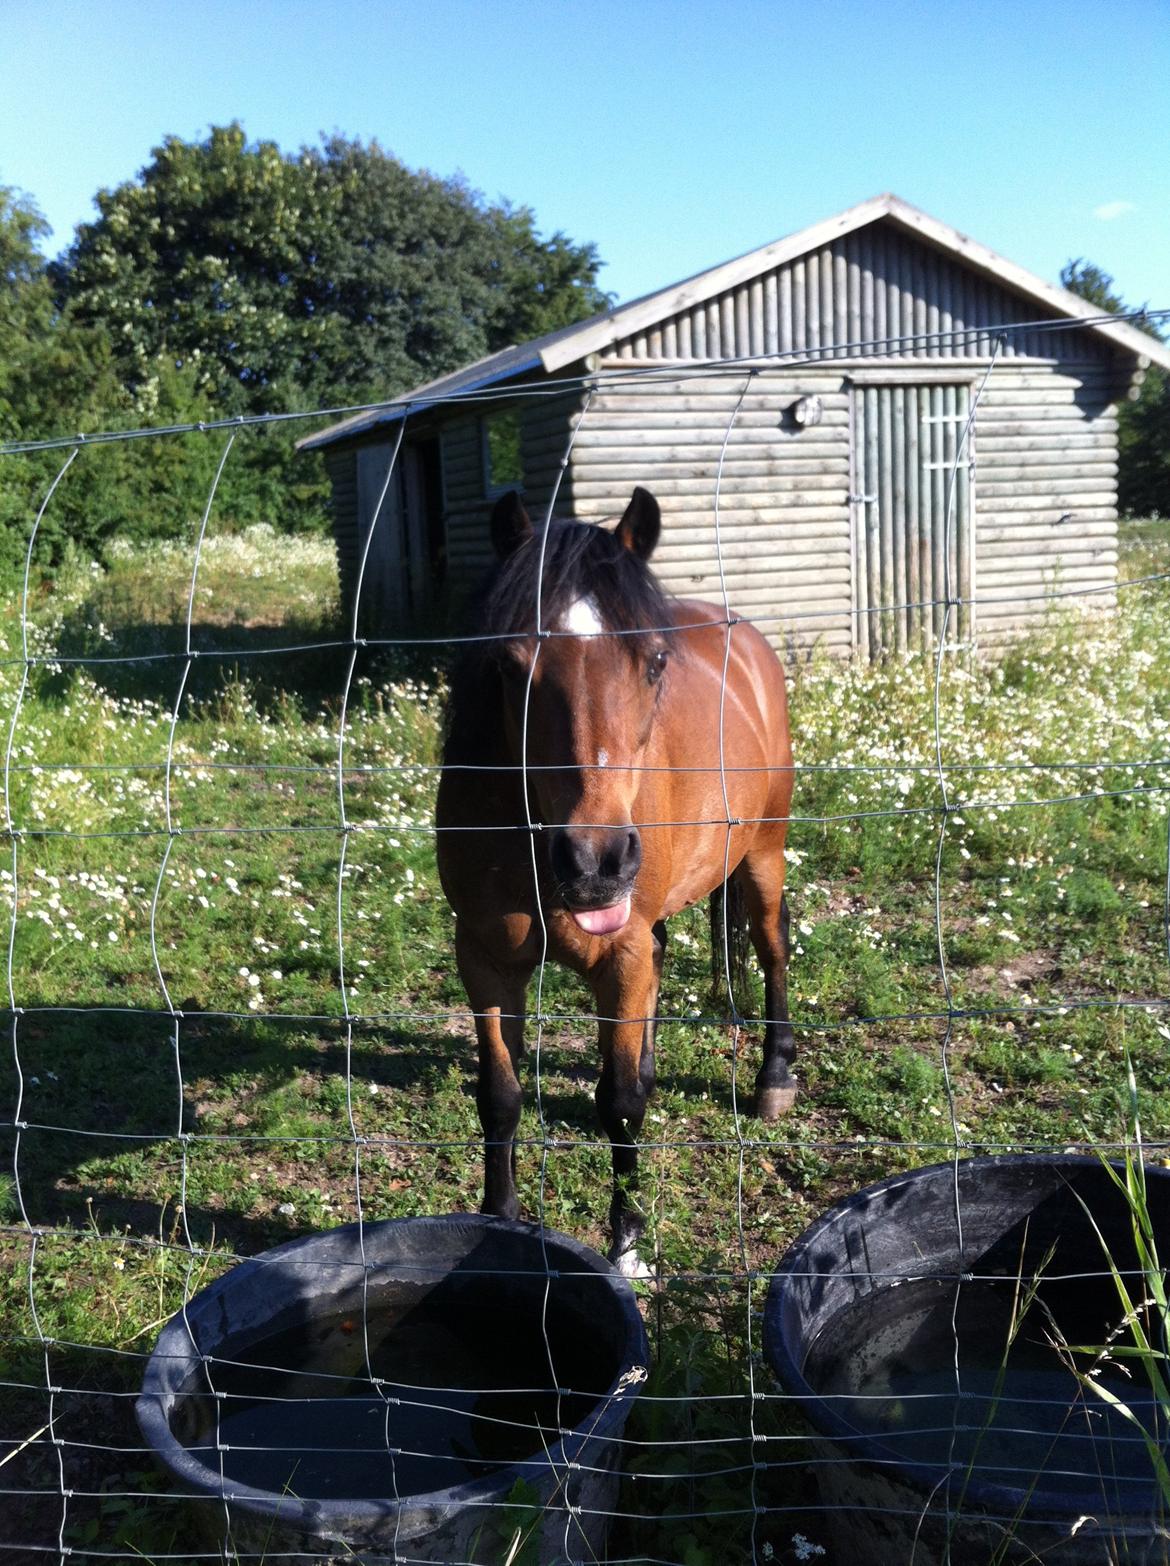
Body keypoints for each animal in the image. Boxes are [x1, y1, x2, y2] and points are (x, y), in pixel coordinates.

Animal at [438, 488, 795, 1271]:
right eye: (510, 665)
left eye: (655, 662)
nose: (595, 862)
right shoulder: (483, 959)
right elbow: (500, 1095)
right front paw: (498, 1221)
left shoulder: (620, 953)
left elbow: (621, 1101)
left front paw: (627, 1241)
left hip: (764, 854)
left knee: (772, 949)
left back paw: (776, 1079)